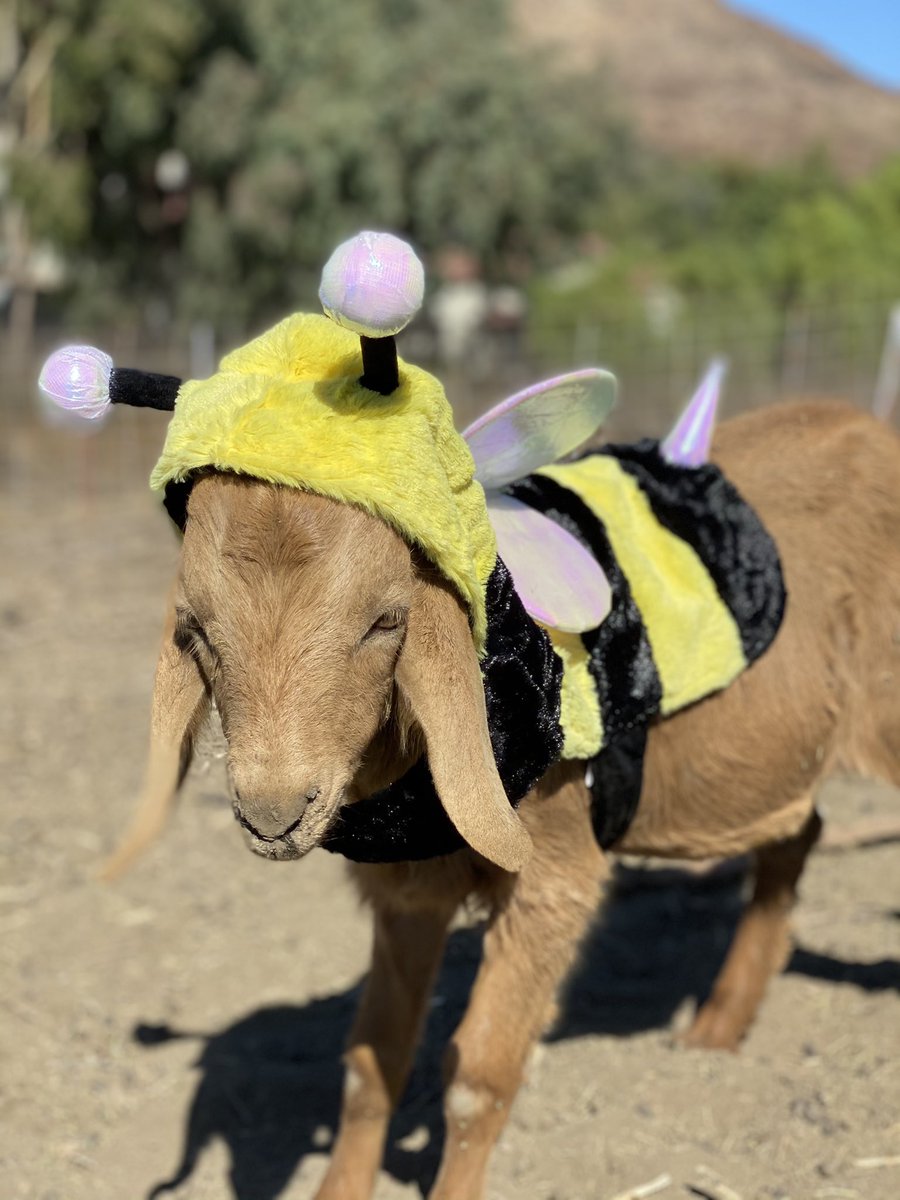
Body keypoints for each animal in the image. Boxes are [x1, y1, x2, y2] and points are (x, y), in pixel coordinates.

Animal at [102, 396, 899, 1200]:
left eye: (386, 620)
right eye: (196, 630)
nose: (273, 813)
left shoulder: (554, 872)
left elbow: (477, 1078)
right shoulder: (408, 887)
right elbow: (372, 1062)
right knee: (800, 831)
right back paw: (718, 1027)